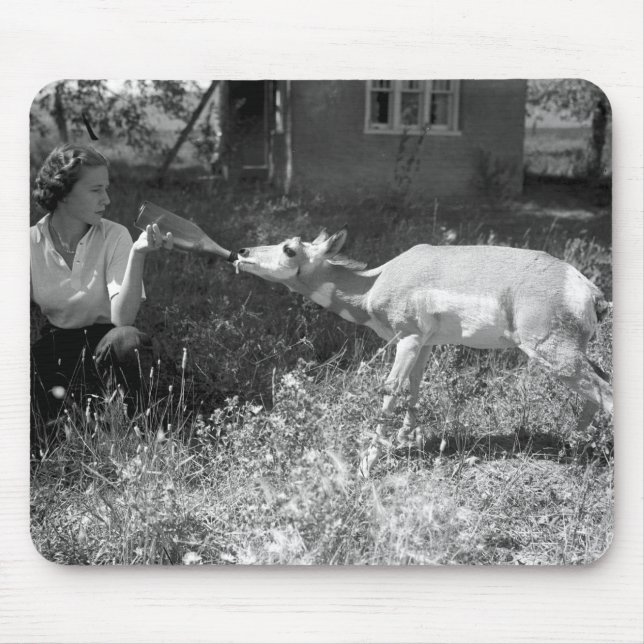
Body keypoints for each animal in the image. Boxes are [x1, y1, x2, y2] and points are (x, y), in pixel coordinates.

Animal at [235, 228, 613, 475]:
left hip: (553, 356)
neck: (375, 282)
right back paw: (573, 448)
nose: (241, 253)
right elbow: (415, 387)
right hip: (570, 356)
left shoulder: (408, 338)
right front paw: (406, 440)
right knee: (600, 384)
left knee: (606, 392)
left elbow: (391, 389)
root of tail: (589, 290)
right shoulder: (427, 343)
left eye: (289, 249)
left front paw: (366, 464)